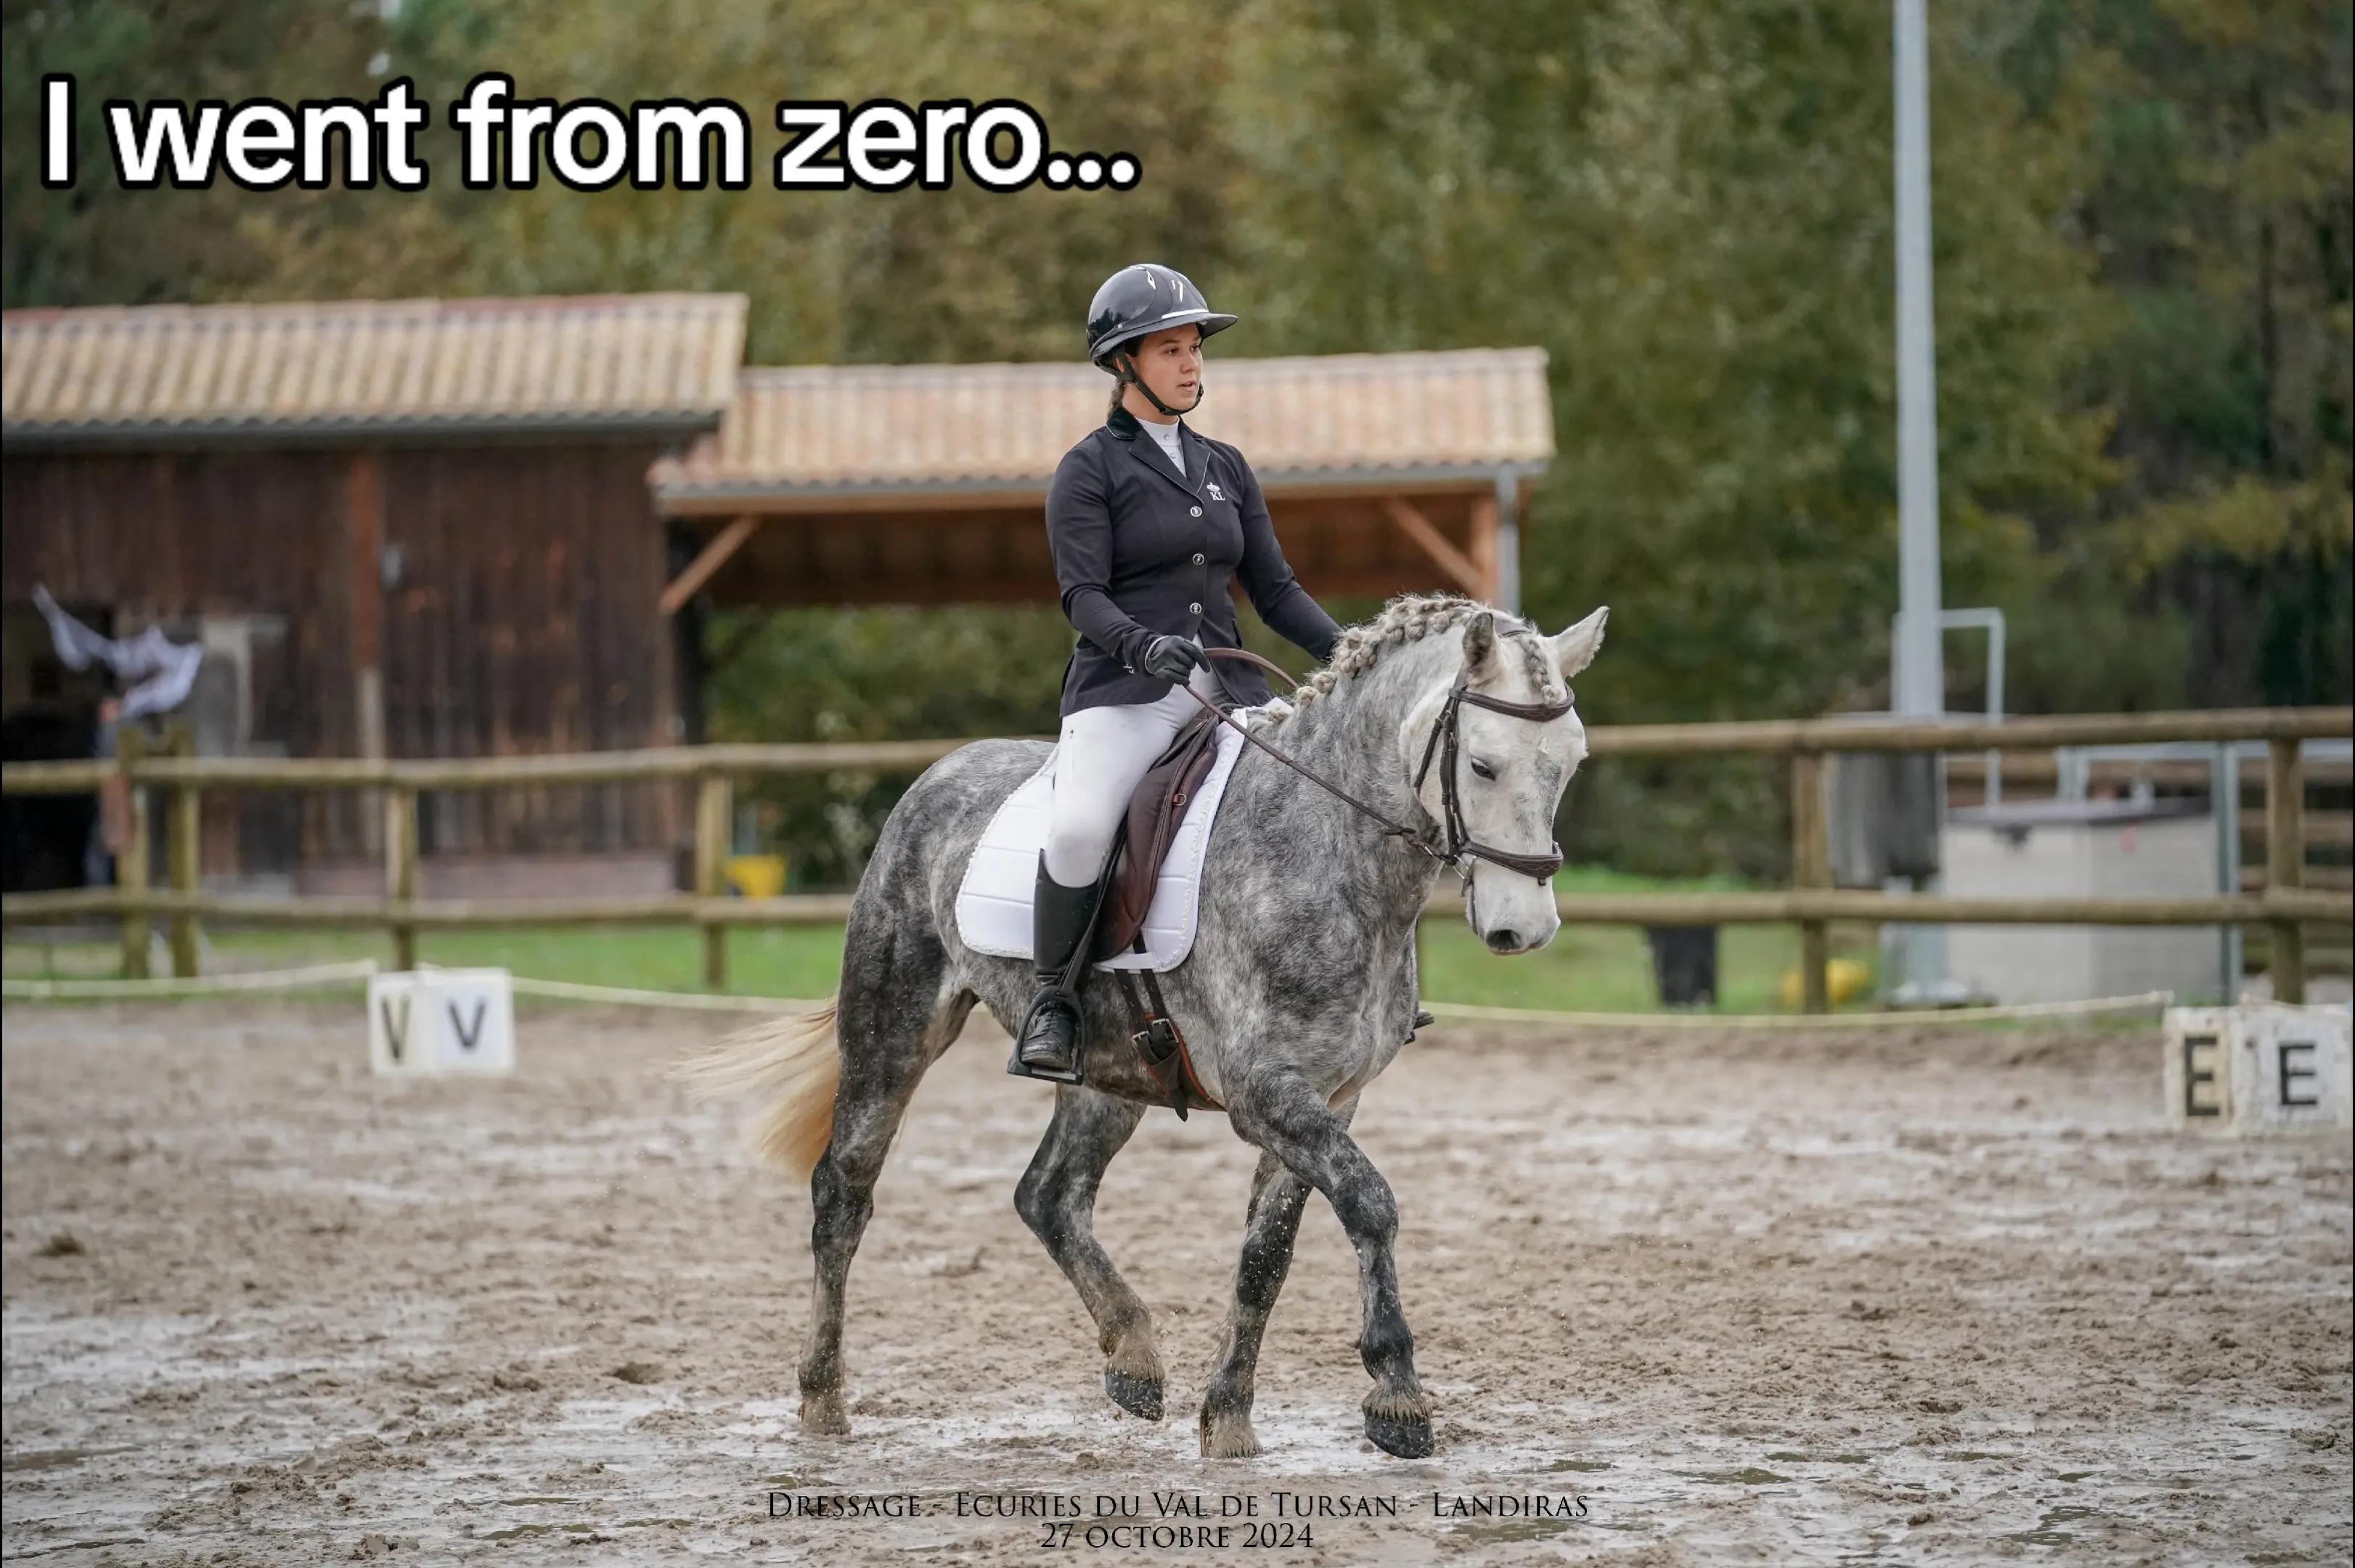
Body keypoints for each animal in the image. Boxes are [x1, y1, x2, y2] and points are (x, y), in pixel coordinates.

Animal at [681, 593, 1607, 1461]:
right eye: (1483, 764)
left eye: (1569, 764)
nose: (1524, 930)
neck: (1331, 853)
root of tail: (937, 774)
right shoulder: (1267, 1096)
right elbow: (1370, 1205)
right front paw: (1397, 1397)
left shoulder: (1329, 1099)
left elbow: (1265, 1257)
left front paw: (1227, 1420)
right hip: (893, 1032)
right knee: (844, 1193)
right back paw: (823, 1404)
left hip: (1107, 1074)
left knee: (1048, 1195)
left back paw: (1133, 1358)